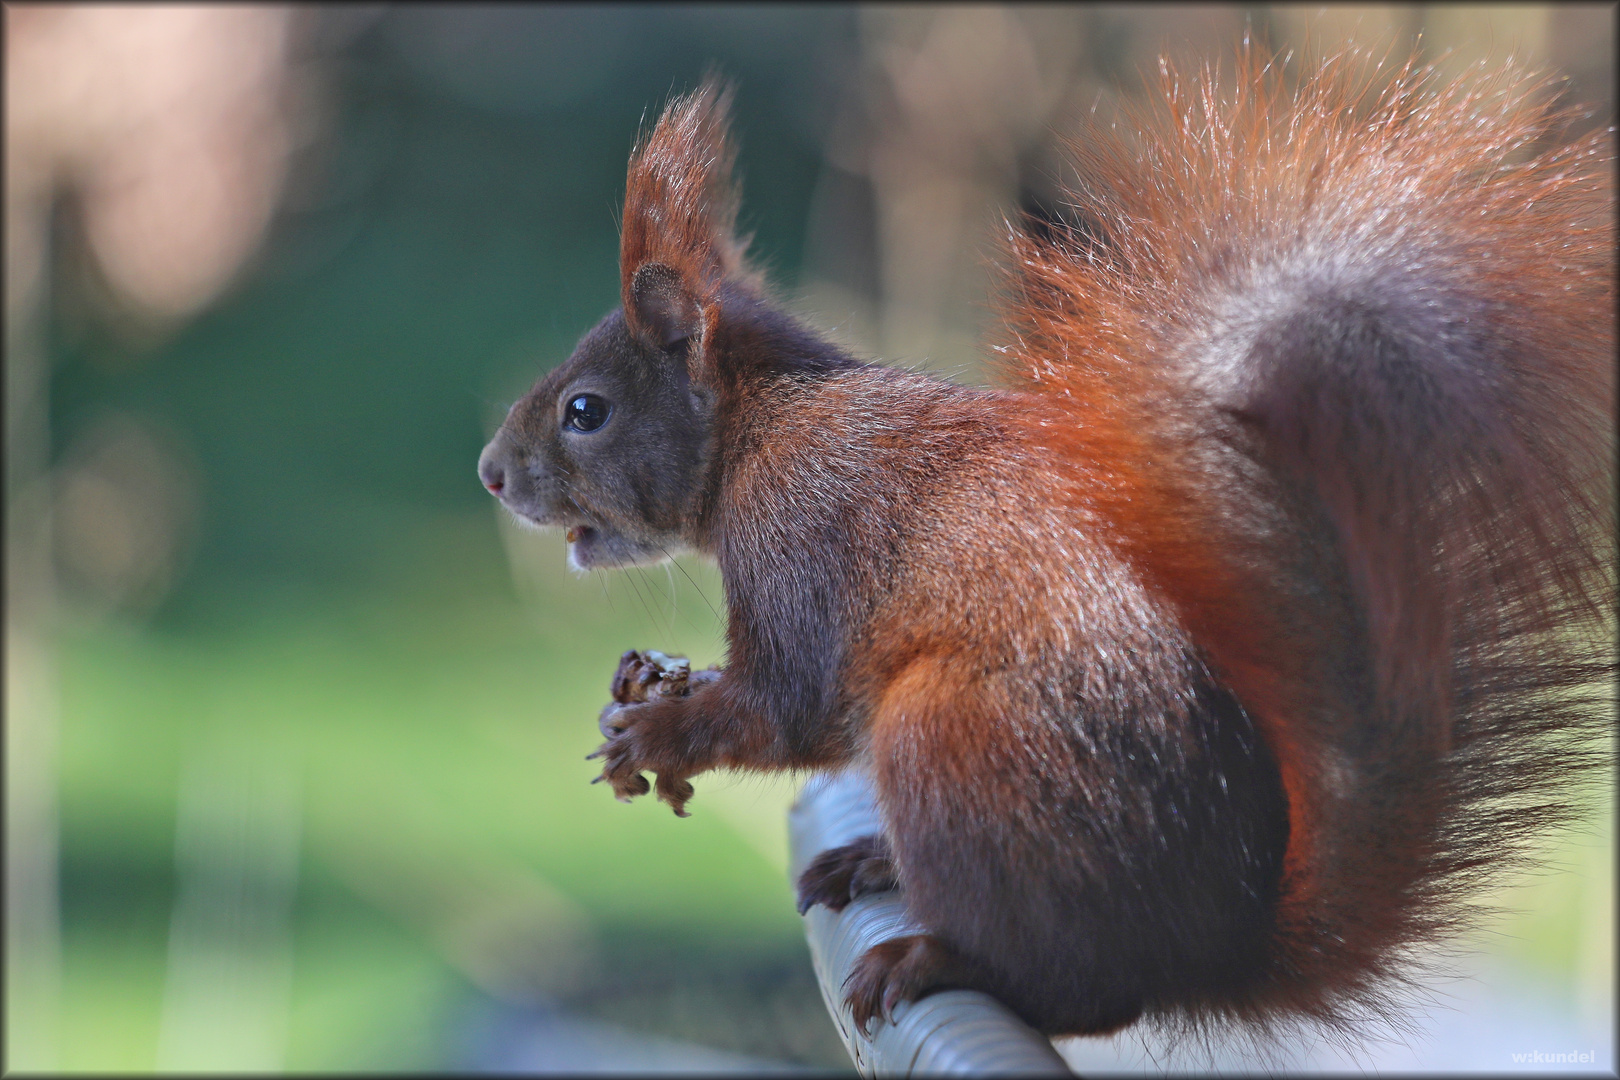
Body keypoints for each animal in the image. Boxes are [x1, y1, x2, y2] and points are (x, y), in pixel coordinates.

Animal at [473, 55, 1613, 1042]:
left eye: (585, 411)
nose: (490, 473)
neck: (762, 429)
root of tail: (1212, 954)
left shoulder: (801, 541)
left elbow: (789, 705)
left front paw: (655, 734)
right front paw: (643, 688)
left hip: (952, 737)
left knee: (1081, 995)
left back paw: (934, 955)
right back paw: (874, 867)